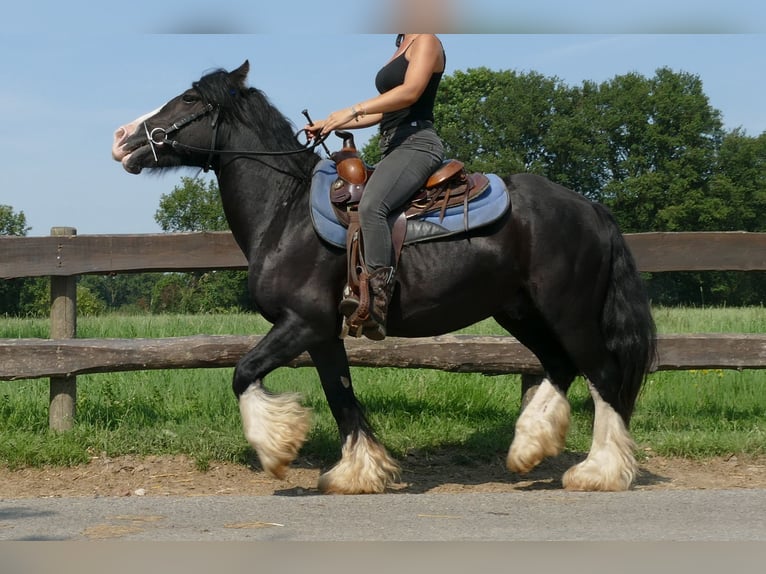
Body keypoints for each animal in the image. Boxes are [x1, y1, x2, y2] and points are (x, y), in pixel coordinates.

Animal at [114, 62, 660, 496]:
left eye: (189, 99)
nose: (123, 138)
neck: (287, 212)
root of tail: (590, 208)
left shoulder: (302, 323)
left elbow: (244, 372)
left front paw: (278, 450)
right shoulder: (322, 333)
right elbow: (341, 396)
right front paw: (357, 472)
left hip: (570, 312)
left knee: (603, 375)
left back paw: (600, 471)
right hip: (520, 311)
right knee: (560, 366)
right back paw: (528, 448)